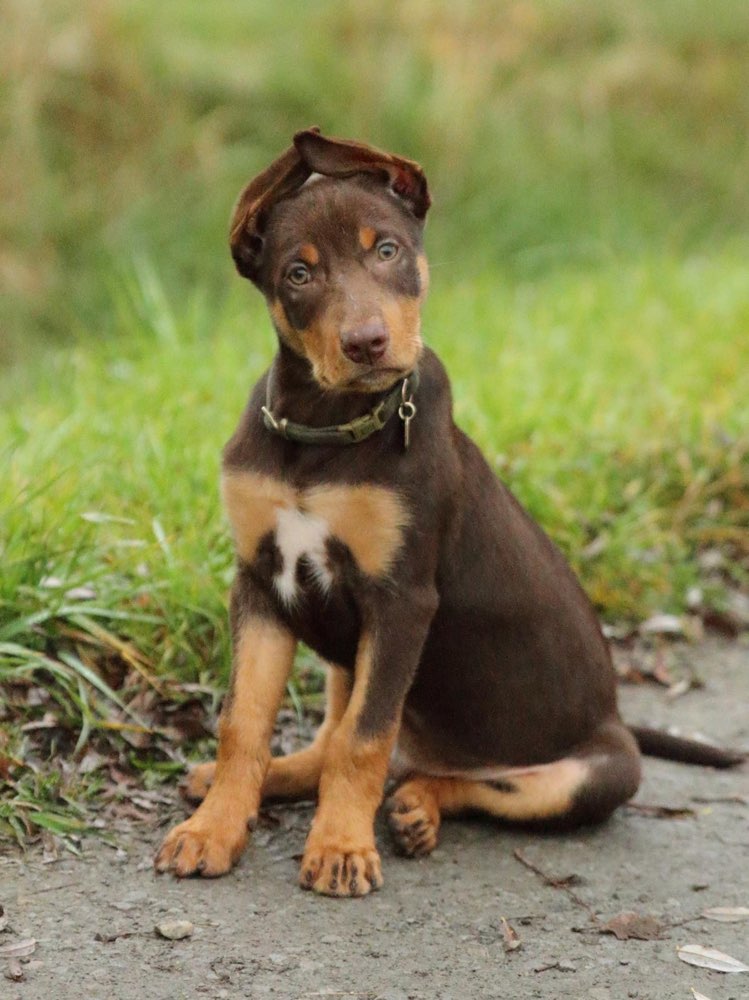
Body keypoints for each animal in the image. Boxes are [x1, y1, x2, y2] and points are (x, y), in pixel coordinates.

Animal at [155, 127, 740, 900]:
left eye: (386, 250)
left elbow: (363, 739)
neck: (325, 429)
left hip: (597, 775)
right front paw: (215, 829)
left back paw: (415, 809)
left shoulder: (402, 599)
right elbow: (244, 722)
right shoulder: (259, 581)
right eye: (298, 274)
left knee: (457, 778)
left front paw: (340, 848)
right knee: (338, 744)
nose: (367, 343)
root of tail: (620, 721)